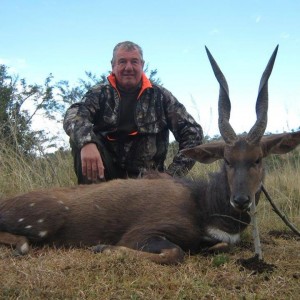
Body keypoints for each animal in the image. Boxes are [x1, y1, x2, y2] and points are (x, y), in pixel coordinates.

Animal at [0, 45, 300, 264]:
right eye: (226, 160)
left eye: (258, 159)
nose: (240, 199)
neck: (203, 204)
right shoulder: (143, 232)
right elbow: (175, 252)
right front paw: (102, 248)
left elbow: (218, 248)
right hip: (44, 221)